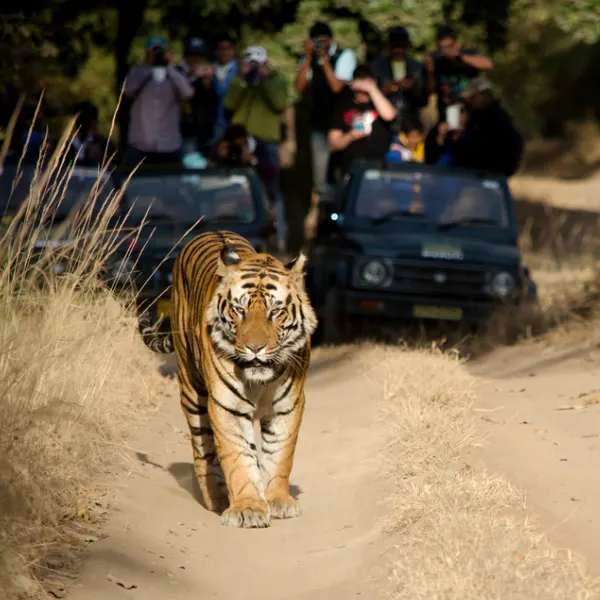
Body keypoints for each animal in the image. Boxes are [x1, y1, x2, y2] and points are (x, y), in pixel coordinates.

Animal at [138, 232, 318, 528]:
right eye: (239, 310)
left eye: (275, 312)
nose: (255, 348)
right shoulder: (226, 406)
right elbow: (237, 458)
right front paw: (248, 508)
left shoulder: (287, 406)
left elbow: (280, 454)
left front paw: (278, 500)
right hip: (192, 392)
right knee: (203, 449)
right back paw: (215, 496)